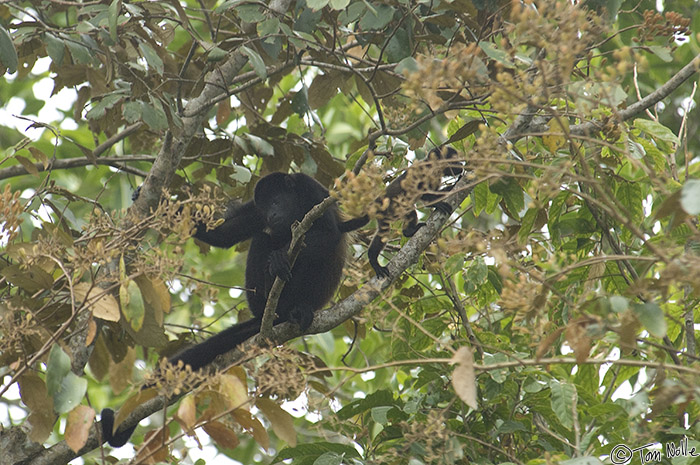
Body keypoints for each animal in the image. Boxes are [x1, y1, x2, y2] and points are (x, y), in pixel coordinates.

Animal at [102, 170, 364, 446]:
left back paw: (298, 306)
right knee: (261, 237)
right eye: (266, 206)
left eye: (276, 201)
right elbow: (224, 233)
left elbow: (329, 232)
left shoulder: (313, 191)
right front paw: (156, 203)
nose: (271, 215)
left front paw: (282, 255)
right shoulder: (255, 209)